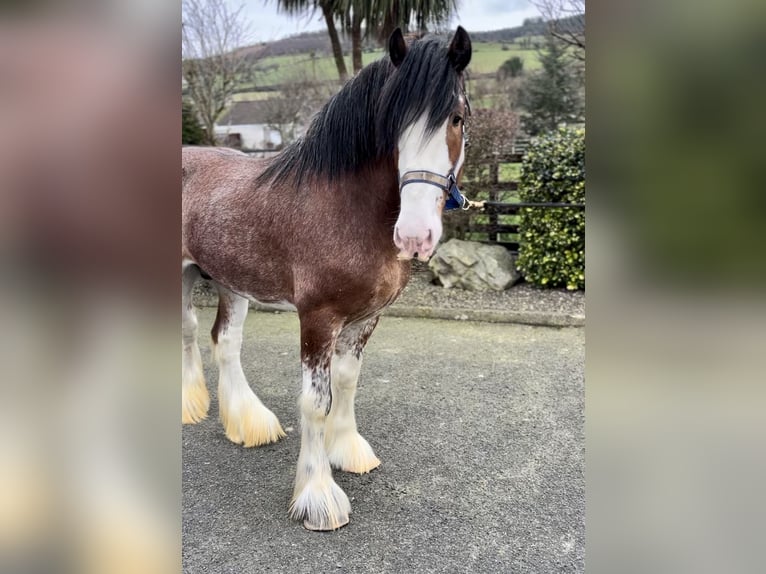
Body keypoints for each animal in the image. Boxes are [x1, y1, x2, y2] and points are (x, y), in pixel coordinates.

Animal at [183, 25, 472, 532]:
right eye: (394, 124)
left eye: (456, 118)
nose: (415, 235)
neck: (345, 205)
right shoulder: (317, 319)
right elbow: (316, 402)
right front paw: (318, 496)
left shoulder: (364, 319)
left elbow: (347, 383)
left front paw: (349, 451)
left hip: (230, 282)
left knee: (225, 341)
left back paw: (248, 422)